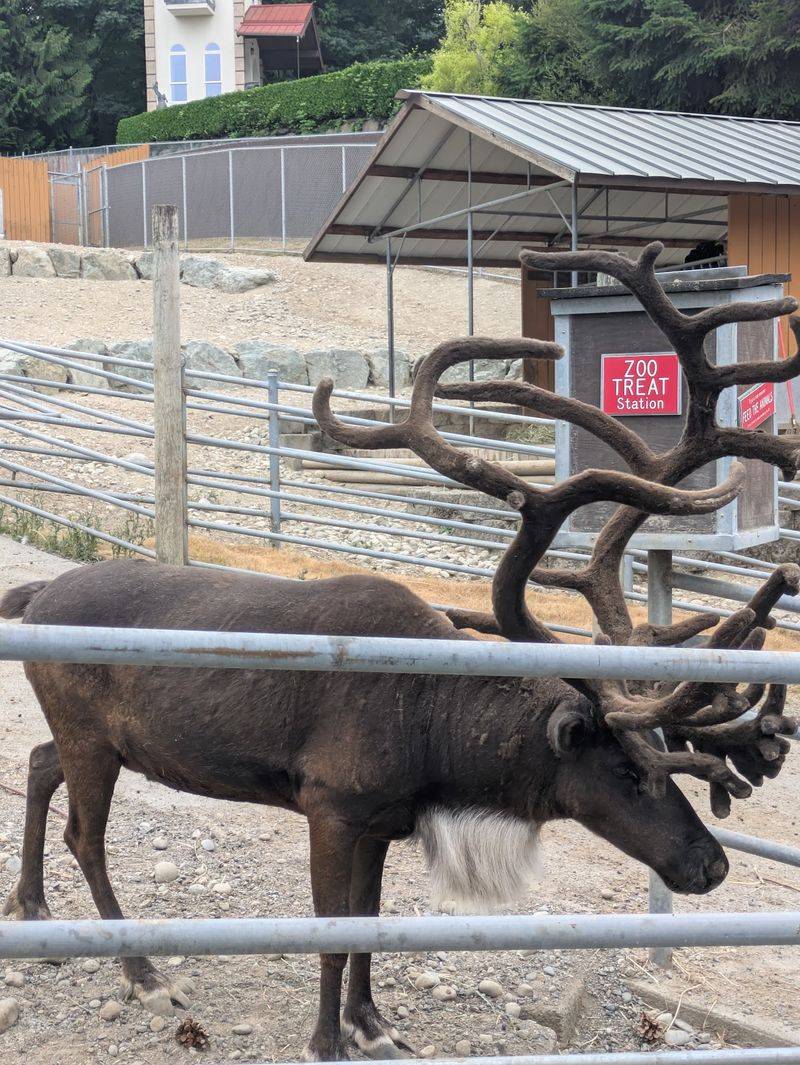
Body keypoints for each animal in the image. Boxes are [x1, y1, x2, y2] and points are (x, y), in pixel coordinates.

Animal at [1, 242, 799, 1062]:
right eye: (630, 771)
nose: (712, 863)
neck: (434, 726)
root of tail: (37, 594)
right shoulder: (330, 805)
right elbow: (330, 931)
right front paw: (326, 1039)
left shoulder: (385, 820)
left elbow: (371, 923)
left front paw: (373, 1021)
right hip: (93, 738)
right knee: (84, 836)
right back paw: (143, 971)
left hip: (101, 738)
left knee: (37, 762)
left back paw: (31, 906)